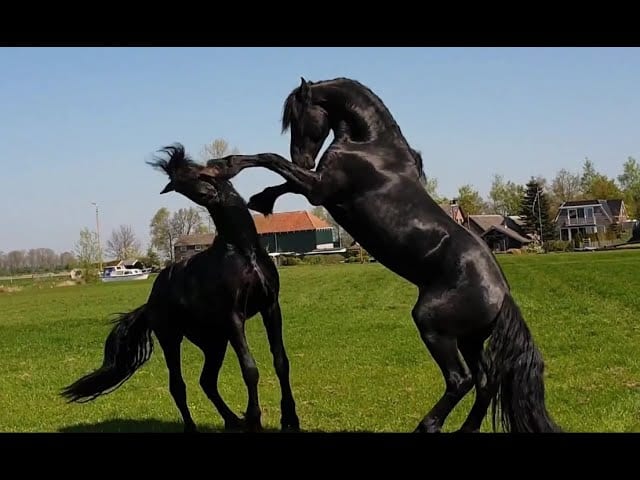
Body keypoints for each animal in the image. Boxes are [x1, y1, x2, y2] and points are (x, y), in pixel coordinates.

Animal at [60, 143, 300, 433]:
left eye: (196, 171)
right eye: (179, 187)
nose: (208, 194)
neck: (243, 251)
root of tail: (150, 302)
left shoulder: (270, 307)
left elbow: (281, 362)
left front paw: (289, 419)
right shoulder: (234, 317)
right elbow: (249, 369)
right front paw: (254, 419)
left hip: (214, 341)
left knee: (206, 381)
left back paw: (233, 420)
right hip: (172, 339)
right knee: (178, 386)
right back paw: (198, 427)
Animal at [202, 77, 561, 433]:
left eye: (297, 118)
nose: (303, 158)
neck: (371, 145)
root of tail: (502, 294)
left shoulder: (319, 186)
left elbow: (273, 159)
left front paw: (223, 166)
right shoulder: (318, 185)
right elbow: (284, 178)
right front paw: (260, 199)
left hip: (433, 326)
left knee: (461, 380)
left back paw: (426, 426)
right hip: (469, 339)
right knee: (485, 381)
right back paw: (462, 430)